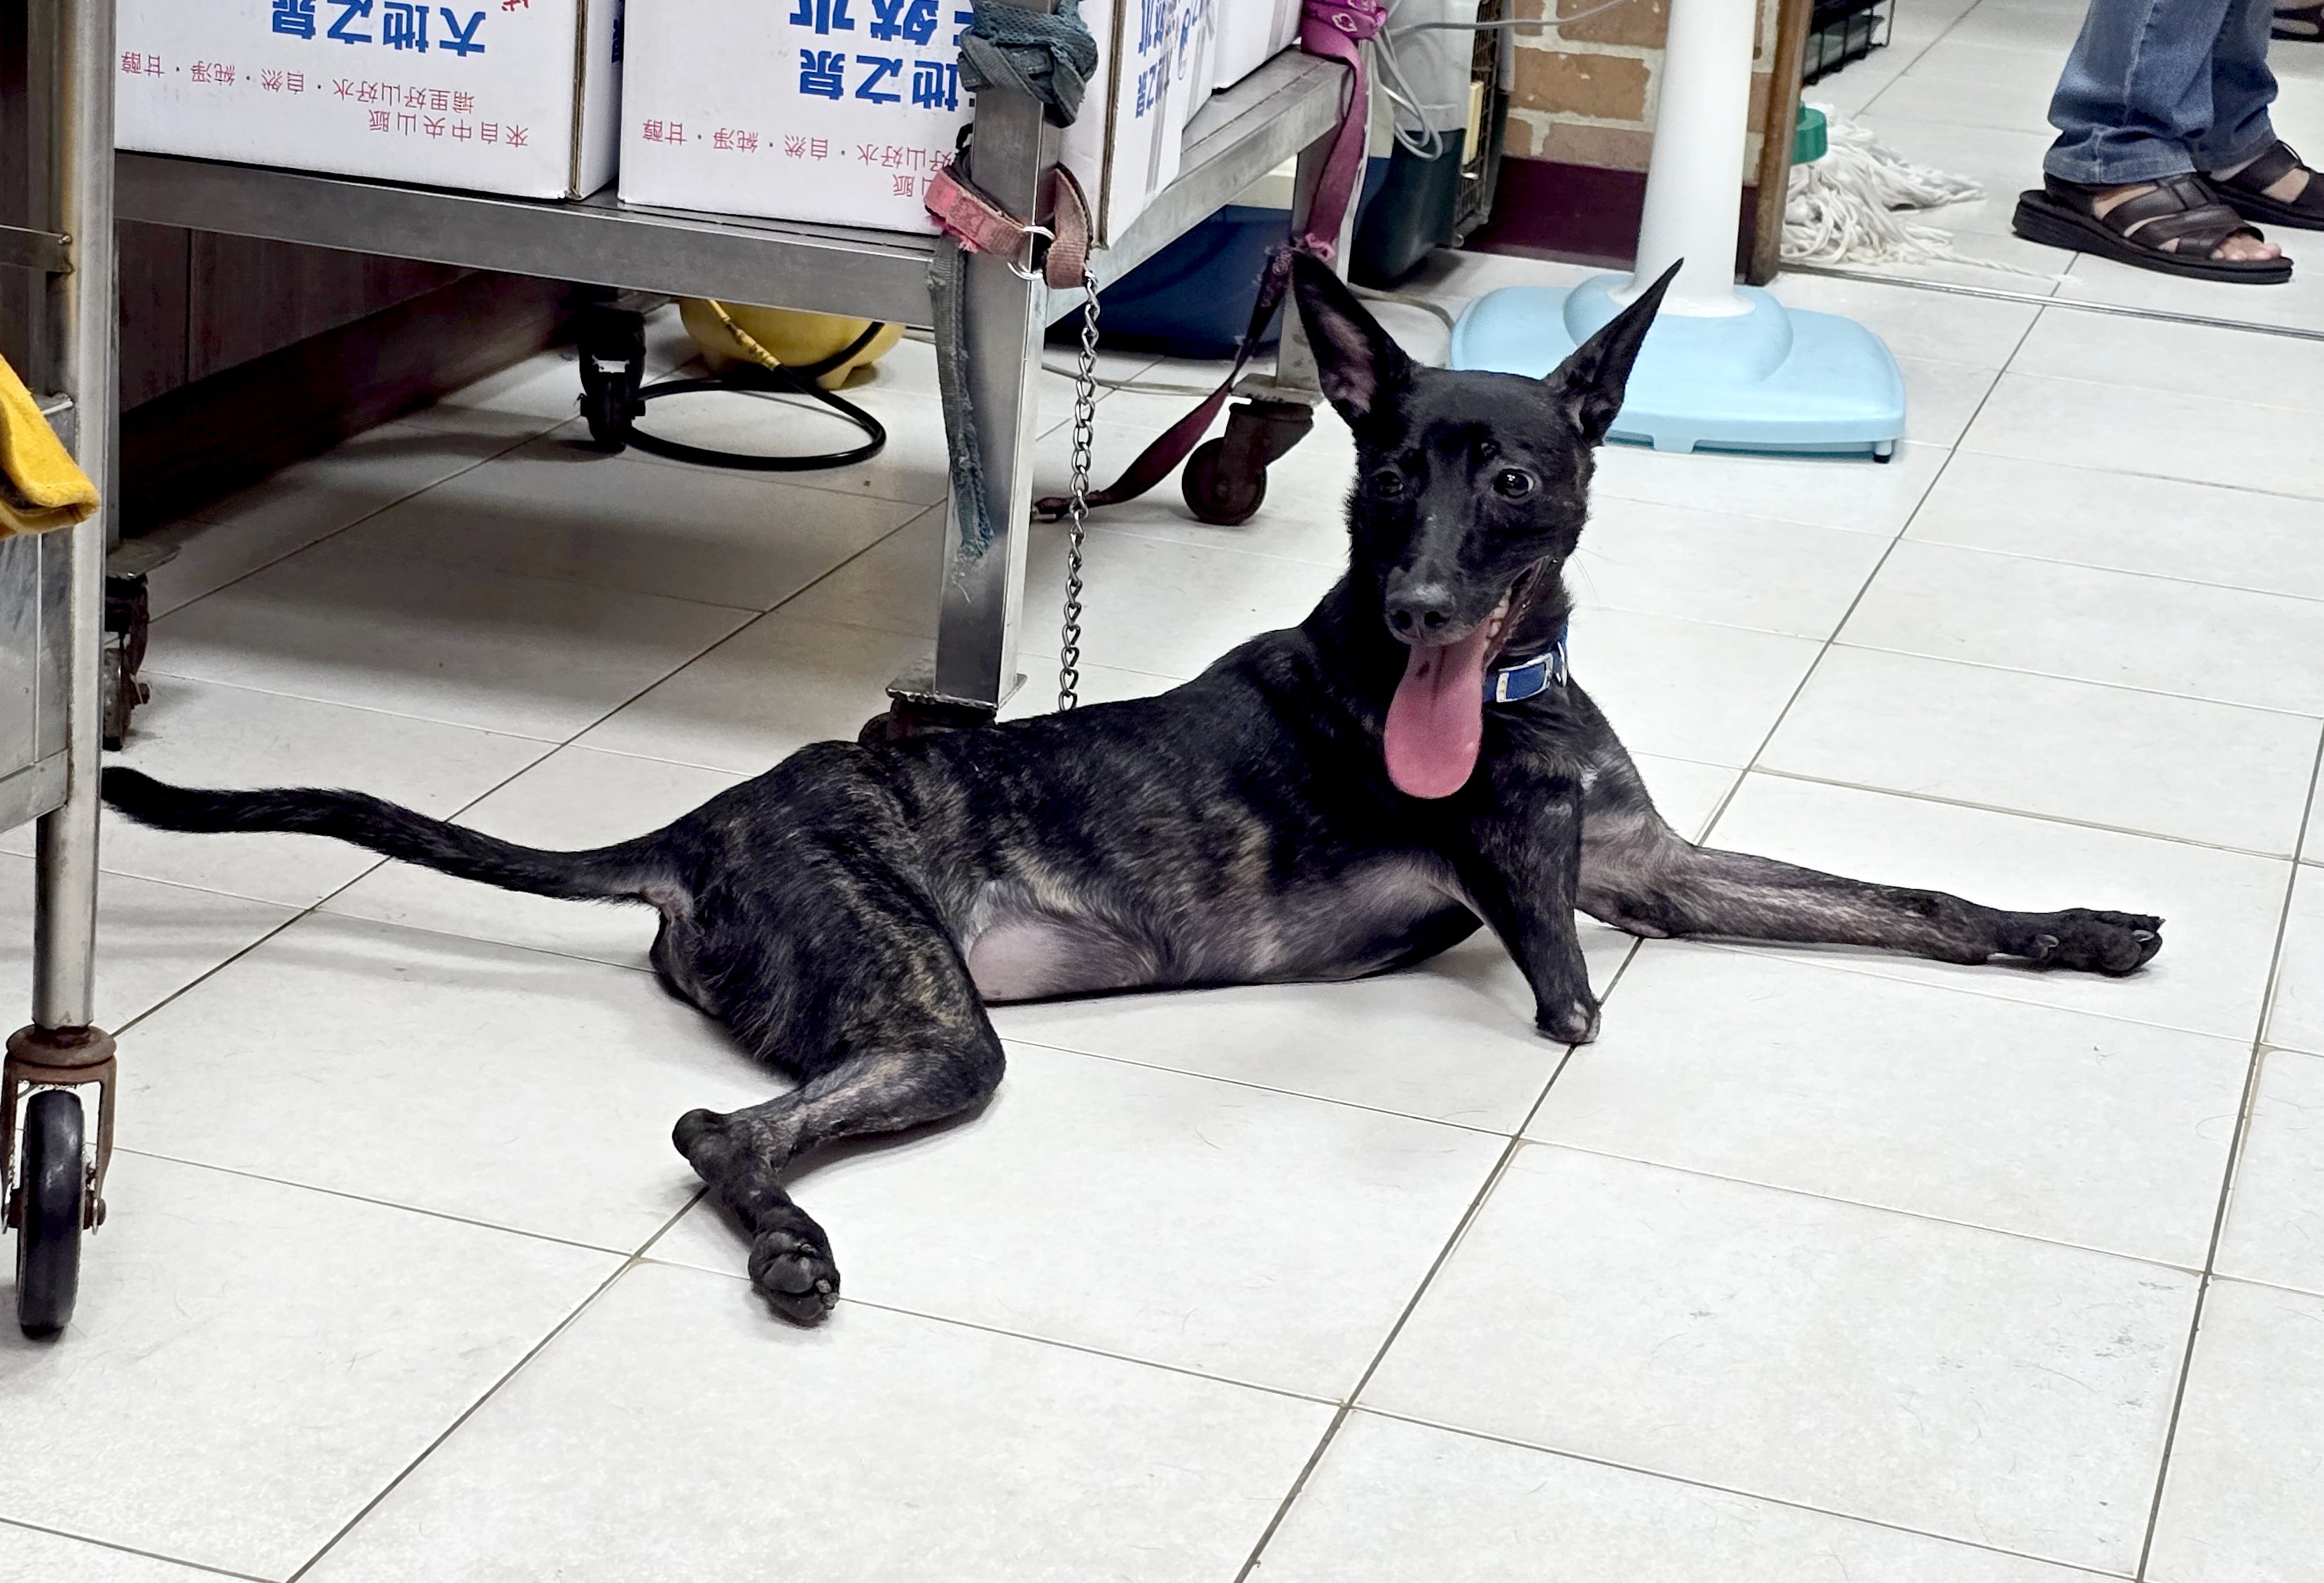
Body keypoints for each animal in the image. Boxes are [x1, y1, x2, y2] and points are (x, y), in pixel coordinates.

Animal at [101, 254, 2163, 1323]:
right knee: (712, 1132)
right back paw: (791, 1245)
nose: (1418, 603)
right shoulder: (1555, 926)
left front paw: (2076, 925)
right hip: (932, 1021)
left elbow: (1904, 899)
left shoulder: (1652, 865)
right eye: (1381, 480)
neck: (1498, 688)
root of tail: (694, 833)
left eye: (1507, 480)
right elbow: (1577, 992)